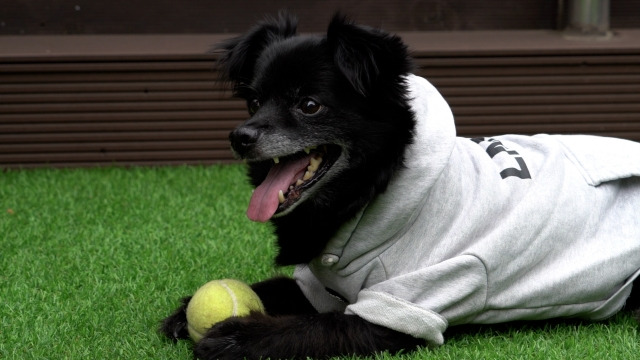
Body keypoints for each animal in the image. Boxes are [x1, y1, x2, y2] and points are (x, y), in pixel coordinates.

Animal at [162, 11, 640, 360]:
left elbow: (314, 326)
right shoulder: (318, 286)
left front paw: (238, 336)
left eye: (309, 105)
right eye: (254, 101)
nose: (240, 136)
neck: (375, 191)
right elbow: (275, 287)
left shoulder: (401, 307)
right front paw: (185, 312)